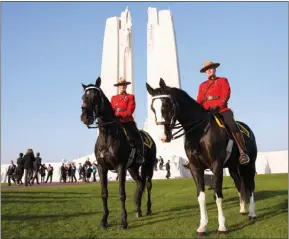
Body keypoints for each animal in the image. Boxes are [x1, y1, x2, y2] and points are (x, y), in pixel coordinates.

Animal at [79, 77, 155, 230]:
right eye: (83, 97)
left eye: (95, 96)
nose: (85, 117)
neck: (106, 136)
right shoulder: (102, 168)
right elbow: (104, 194)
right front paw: (104, 219)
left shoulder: (120, 166)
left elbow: (121, 194)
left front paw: (124, 221)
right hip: (132, 168)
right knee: (140, 183)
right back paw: (138, 209)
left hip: (148, 165)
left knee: (148, 185)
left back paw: (148, 209)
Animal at [146, 78, 256, 235]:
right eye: (152, 108)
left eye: (166, 104)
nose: (162, 137)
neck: (199, 131)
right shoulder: (195, 168)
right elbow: (201, 197)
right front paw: (202, 226)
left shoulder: (216, 166)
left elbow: (218, 195)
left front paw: (222, 226)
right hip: (234, 168)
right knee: (240, 185)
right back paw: (242, 209)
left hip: (249, 165)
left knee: (250, 186)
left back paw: (252, 213)